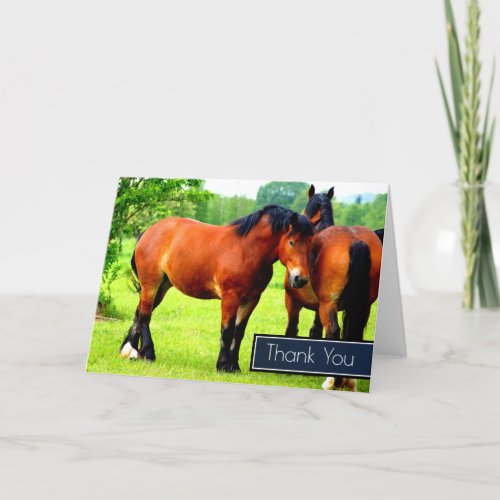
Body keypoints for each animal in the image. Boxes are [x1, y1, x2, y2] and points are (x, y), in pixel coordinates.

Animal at [119, 203, 312, 372]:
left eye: (311, 244)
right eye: (292, 242)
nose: (300, 279)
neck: (248, 250)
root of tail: (149, 231)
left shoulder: (251, 299)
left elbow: (239, 332)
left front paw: (235, 367)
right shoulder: (230, 298)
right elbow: (227, 331)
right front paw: (224, 365)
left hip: (162, 287)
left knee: (139, 313)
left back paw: (130, 351)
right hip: (151, 284)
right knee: (144, 316)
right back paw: (147, 354)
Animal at [286, 184, 382, 390]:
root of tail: (355, 241)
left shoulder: (299, 300)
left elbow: (304, 328)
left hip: (328, 304)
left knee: (333, 330)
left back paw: (331, 381)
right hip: (363, 305)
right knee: (354, 332)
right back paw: (349, 381)